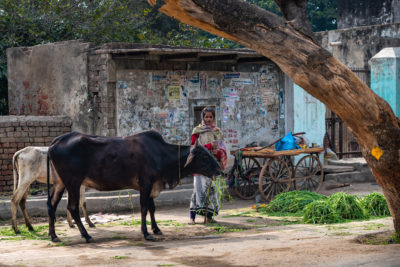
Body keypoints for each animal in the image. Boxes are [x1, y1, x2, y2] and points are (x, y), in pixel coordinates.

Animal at [47, 130, 222, 243]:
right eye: (204, 156)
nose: (220, 170)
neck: (161, 153)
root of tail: (56, 141)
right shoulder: (146, 183)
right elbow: (144, 208)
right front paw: (146, 233)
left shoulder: (151, 185)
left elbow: (152, 208)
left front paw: (156, 229)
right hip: (73, 183)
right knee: (72, 207)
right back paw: (86, 235)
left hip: (60, 183)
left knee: (52, 205)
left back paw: (54, 236)